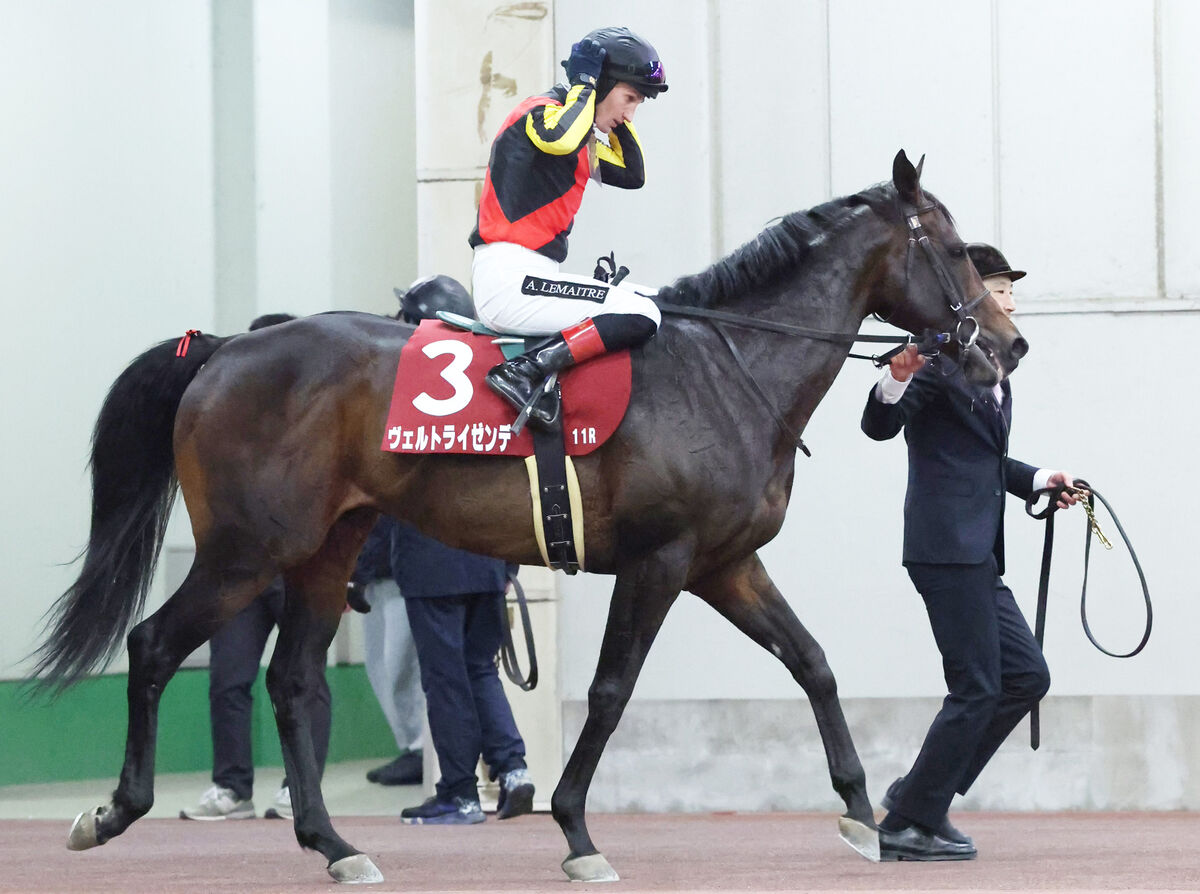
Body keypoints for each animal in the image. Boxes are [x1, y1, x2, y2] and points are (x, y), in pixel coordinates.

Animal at [32, 151, 1026, 885]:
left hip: (324, 547)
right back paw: (115, 811)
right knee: (155, 645)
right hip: (246, 551)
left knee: (293, 681)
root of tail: (228, 346)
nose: (1009, 345)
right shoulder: (661, 562)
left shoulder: (725, 564)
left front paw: (864, 815)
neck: (731, 367)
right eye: (949, 247)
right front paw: (578, 830)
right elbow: (613, 689)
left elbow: (814, 664)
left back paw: (336, 845)